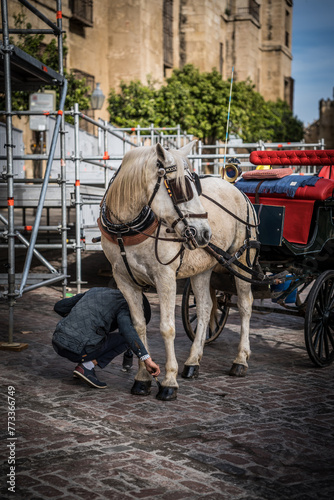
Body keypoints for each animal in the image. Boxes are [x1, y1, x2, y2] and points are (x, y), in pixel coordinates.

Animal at [100, 143, 256, 400]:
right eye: (178, 187)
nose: (205, 232)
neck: (126, 230)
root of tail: (236, 189)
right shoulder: (123, 280)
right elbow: (138, 327)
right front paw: (143, 378)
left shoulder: (165, 278)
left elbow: (167, 328)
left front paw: (169, 381)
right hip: (202, 267)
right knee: (205, 308)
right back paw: (193, 362)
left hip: (241, 259)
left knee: (244, 306)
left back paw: (240, 360)